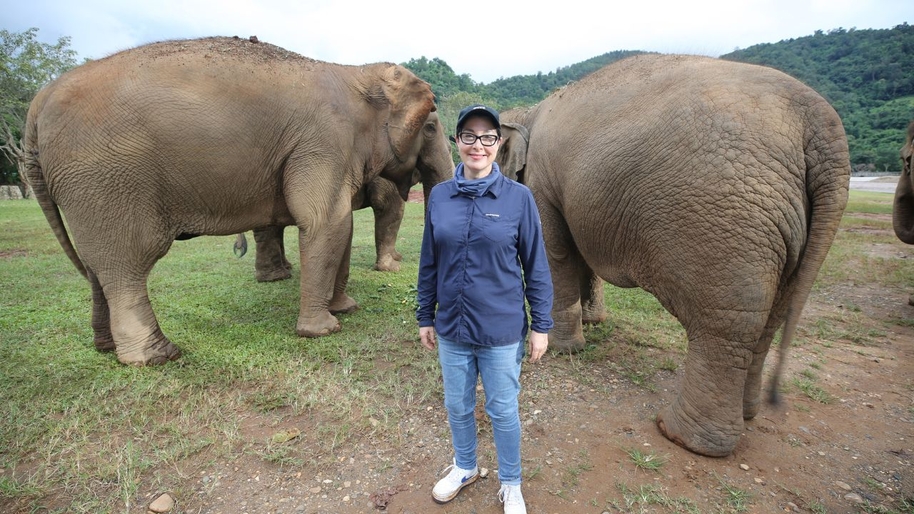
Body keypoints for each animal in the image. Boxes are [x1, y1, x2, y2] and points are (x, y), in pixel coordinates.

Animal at [496, 54, 852, 454]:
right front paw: (593, 324)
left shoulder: (540, 180)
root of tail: (821, 125)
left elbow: (555, 253)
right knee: (771, 318)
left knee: (726, 325)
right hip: (789, 229)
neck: (528, 111)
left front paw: (561, 351)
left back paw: (680, 436)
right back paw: (746, 414)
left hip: (726, 219)